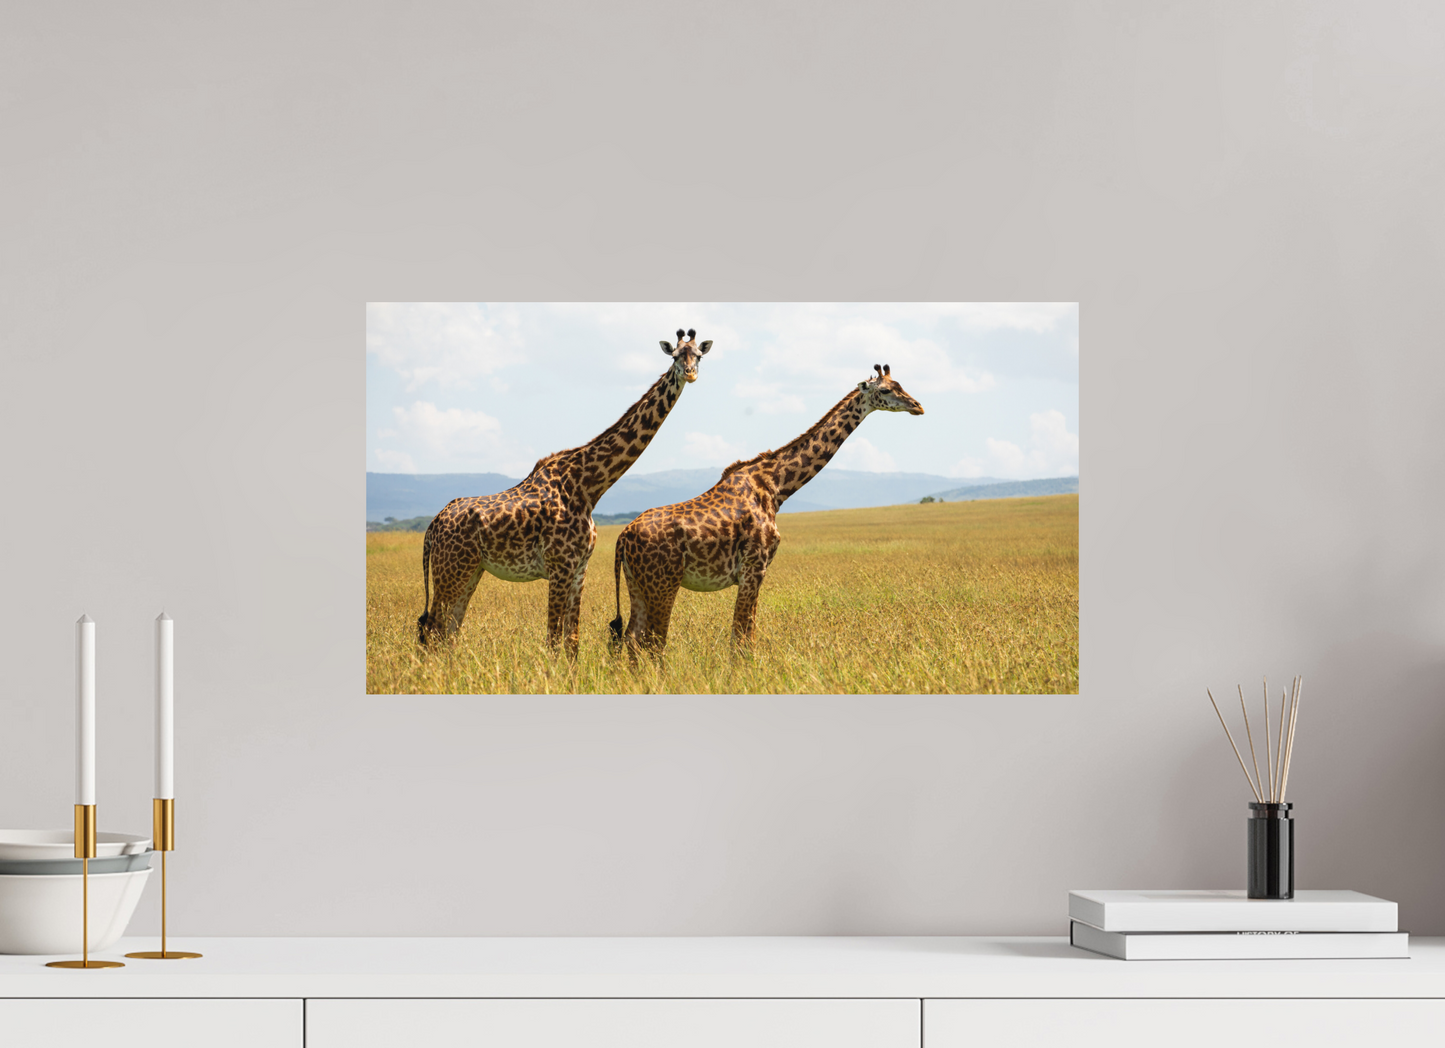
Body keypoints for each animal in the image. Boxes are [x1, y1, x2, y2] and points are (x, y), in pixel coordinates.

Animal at [418, 329, 713, 657]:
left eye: (698, 356)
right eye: (675, 356)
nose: (690, 373)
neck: (588, 486)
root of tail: (433, 527)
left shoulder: (579, 568)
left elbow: (572, 641)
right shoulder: (559, 566)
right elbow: (553, 640)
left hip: (469, 570)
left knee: (449, 629)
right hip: (451, 570)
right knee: (433, 629)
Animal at [609, 364, 924, 656]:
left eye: (900, 384)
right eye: (885, 390)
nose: (918, 406)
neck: (776, 487)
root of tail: (622, 537)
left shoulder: (754, 573)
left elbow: (746, 634)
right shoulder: (754, 568)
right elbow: (742, 639)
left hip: (636, 583)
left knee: (632, 639)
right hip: (663, 583)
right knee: (652, 642)